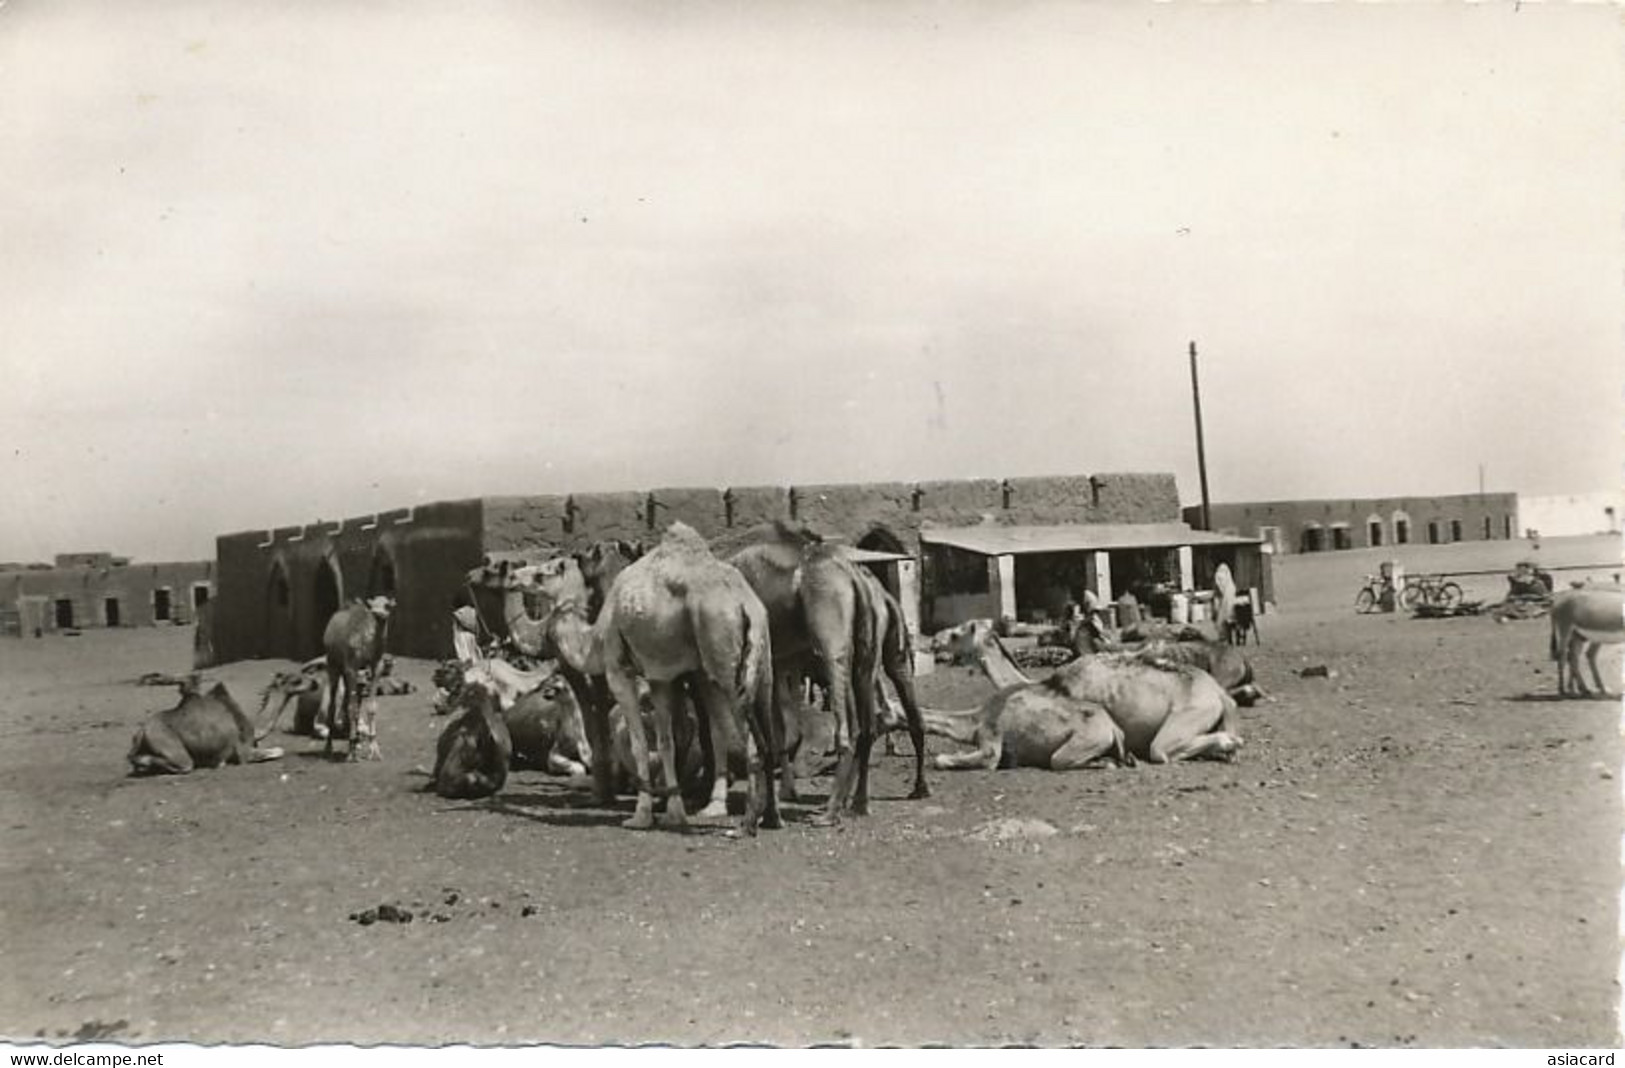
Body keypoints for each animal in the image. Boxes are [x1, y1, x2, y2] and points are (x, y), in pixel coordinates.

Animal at [323, 594, 396, 760]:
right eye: (372, 606)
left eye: (387, 605)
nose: (377, 613)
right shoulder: (351, 667)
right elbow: (352, 707)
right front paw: (351, 753)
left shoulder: (375, 667)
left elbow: (370, 707)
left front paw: (374, 750)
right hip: (333, 665)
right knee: (333, 705)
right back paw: (329, 748)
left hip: (354, 675)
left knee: (349, 702)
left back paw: (356, 743)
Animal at [598, 523, 780, 832]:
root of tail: (746, 605)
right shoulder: (668, 676)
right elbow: (673, 737)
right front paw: (673, 810)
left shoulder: (620, 669)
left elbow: (647, 741)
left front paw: (643, 815)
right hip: (761, 659)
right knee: (768, 731)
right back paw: (771, 818)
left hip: (726, 661)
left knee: (752, 742)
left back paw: (745, 824)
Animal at [936, 620, 1235, 760]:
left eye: (956, 634)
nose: (935, 640)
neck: (1047, 685)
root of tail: (1219, 693)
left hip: (1190, 714)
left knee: (1160, 749)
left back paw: (1228, 745)